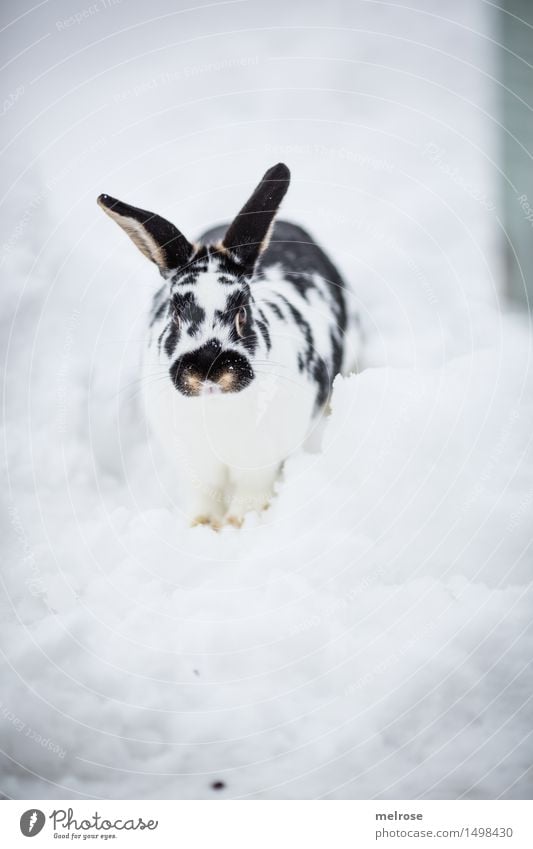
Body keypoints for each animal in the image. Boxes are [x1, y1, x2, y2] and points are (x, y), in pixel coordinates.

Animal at [97, 162, 360, 528]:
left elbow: (249, 499)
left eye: (242, 313)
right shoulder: (194, 465)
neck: (217, 408)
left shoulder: (260, 466)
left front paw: (238, 526)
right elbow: (204, 499)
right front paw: (202, 526)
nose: (208, 369)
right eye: (174, 313)